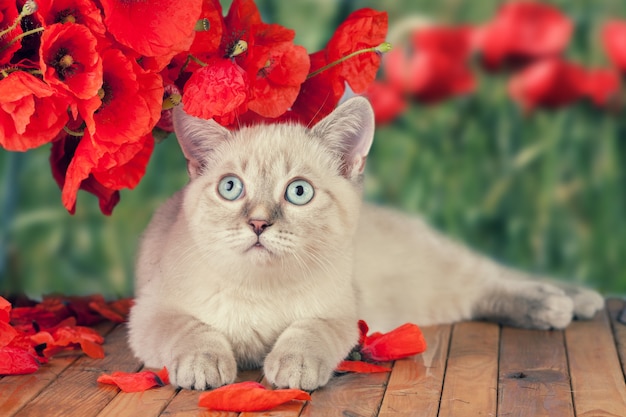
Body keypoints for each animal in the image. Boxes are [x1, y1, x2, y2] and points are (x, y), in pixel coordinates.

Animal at [125, 96, 600, 390]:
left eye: (298, 192)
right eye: (230, 188)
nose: (258, 223)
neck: (260, 289)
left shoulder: (339, 313)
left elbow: (307, 330)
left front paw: (292, 365)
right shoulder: (150, 312)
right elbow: (191, 329)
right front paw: (205, 364)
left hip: (437, 275)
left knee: (495, 275)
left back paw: (566, 301)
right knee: (483, 291)